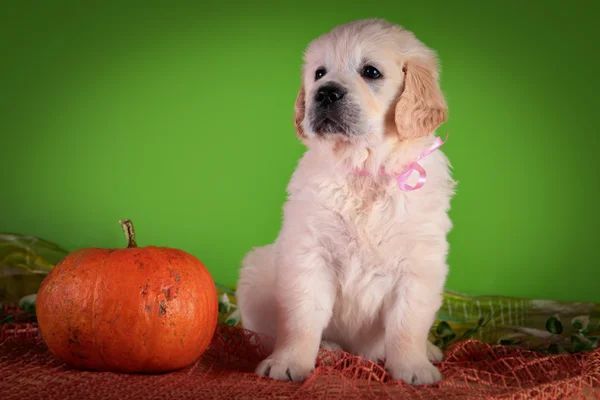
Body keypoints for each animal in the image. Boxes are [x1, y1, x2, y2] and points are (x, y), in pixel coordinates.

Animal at [234, 18, 454, 384]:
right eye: (319, 73)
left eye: (371, 72)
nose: (325, 92)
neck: (364, 169)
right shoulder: (310, 253)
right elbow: (301, 317)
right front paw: (288, 362)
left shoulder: (419, 263)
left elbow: (407, 324)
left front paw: (412, 367)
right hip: (255, 273)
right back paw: (329, 348)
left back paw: (428, 351)